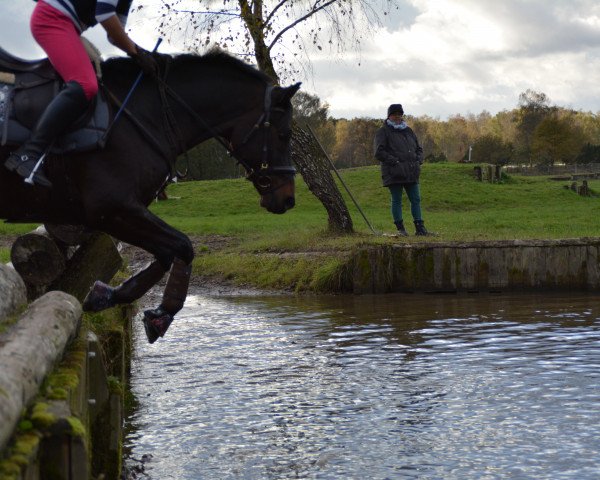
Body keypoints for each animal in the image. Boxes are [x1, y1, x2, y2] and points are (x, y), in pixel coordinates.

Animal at [0, 50, 300, 344]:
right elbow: (183, 246)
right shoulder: (113, 209)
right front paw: (161, 315)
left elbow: (168, 254)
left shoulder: (126, 212)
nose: (288, 199)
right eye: (285, 135)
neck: (146, 116)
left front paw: (108, 295)